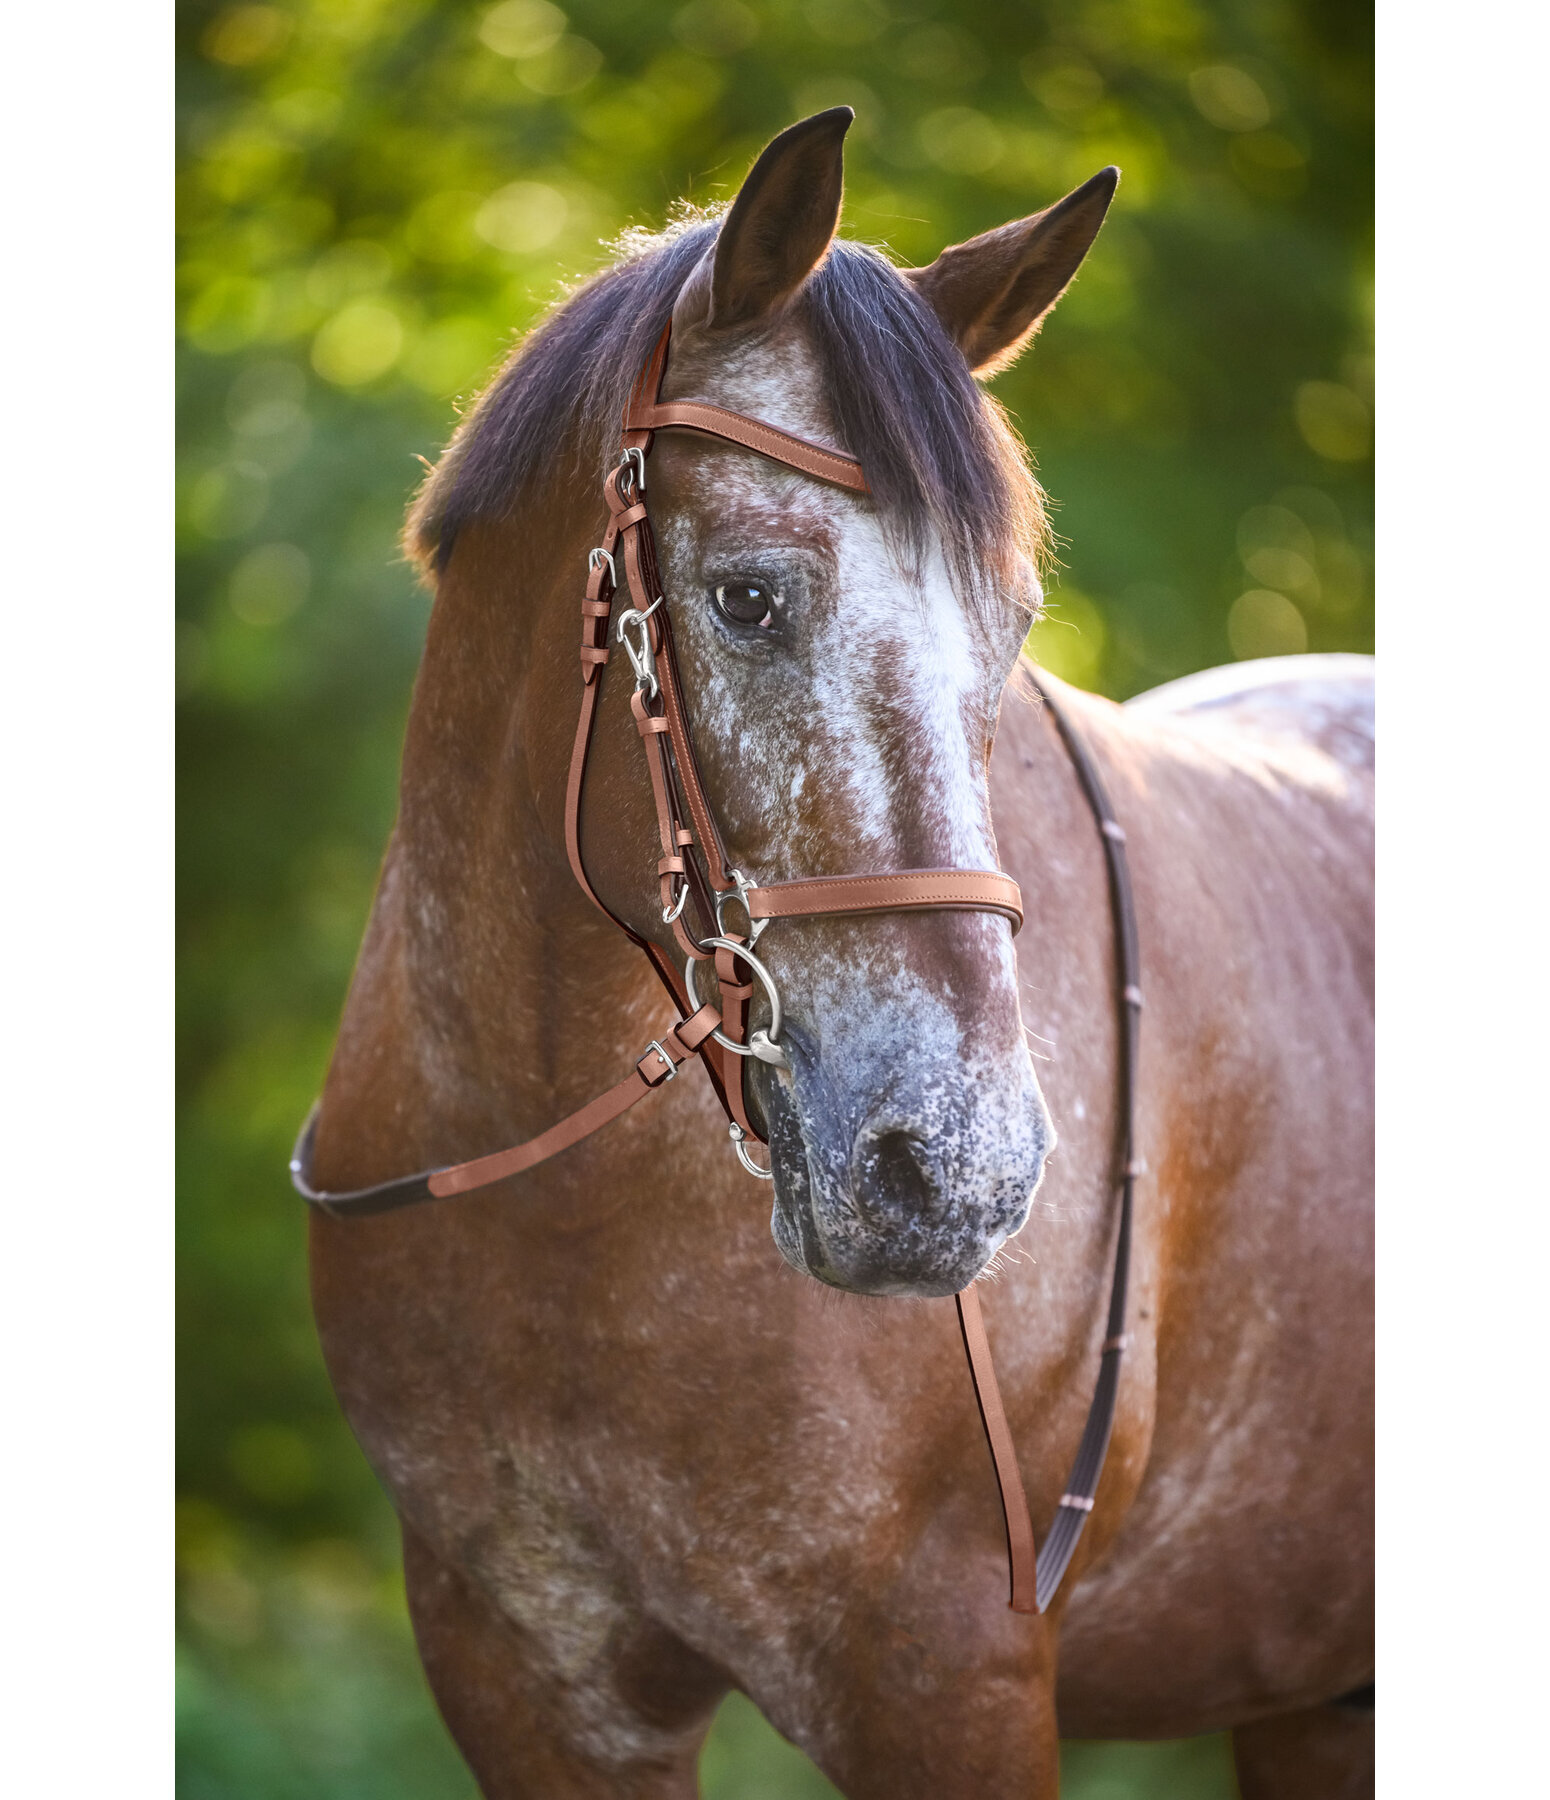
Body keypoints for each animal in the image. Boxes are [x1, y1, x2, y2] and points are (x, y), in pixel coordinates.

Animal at [303, 110, 1373, 1798]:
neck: (570, 1216)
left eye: (1010, 629)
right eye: (745, 597)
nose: (956, 1176)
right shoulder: (533, 1682)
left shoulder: (950, 1675)